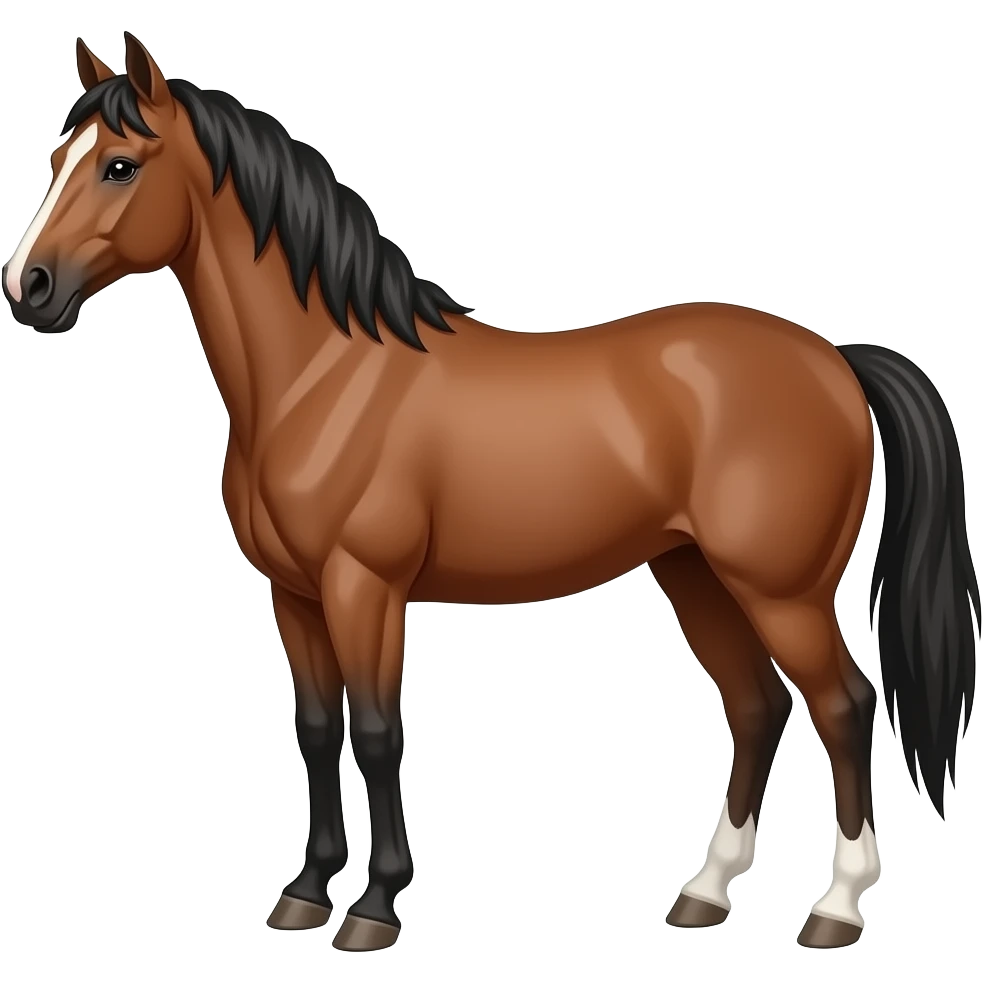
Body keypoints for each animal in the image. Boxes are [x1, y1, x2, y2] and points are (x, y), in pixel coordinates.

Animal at [3, 33, 980, 952]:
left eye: (121, 165)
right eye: (56, 158)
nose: (28, 287)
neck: (325, 374)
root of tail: (835, 361)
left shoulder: (365, 588)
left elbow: (377, 732)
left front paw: (376, 909)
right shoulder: (295, 594)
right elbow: (315, 731)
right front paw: (306, 894)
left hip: (782, 591)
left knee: (843, 707)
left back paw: (836, 909)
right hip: (694, 575)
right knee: (757, 707)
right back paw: (705, 893)